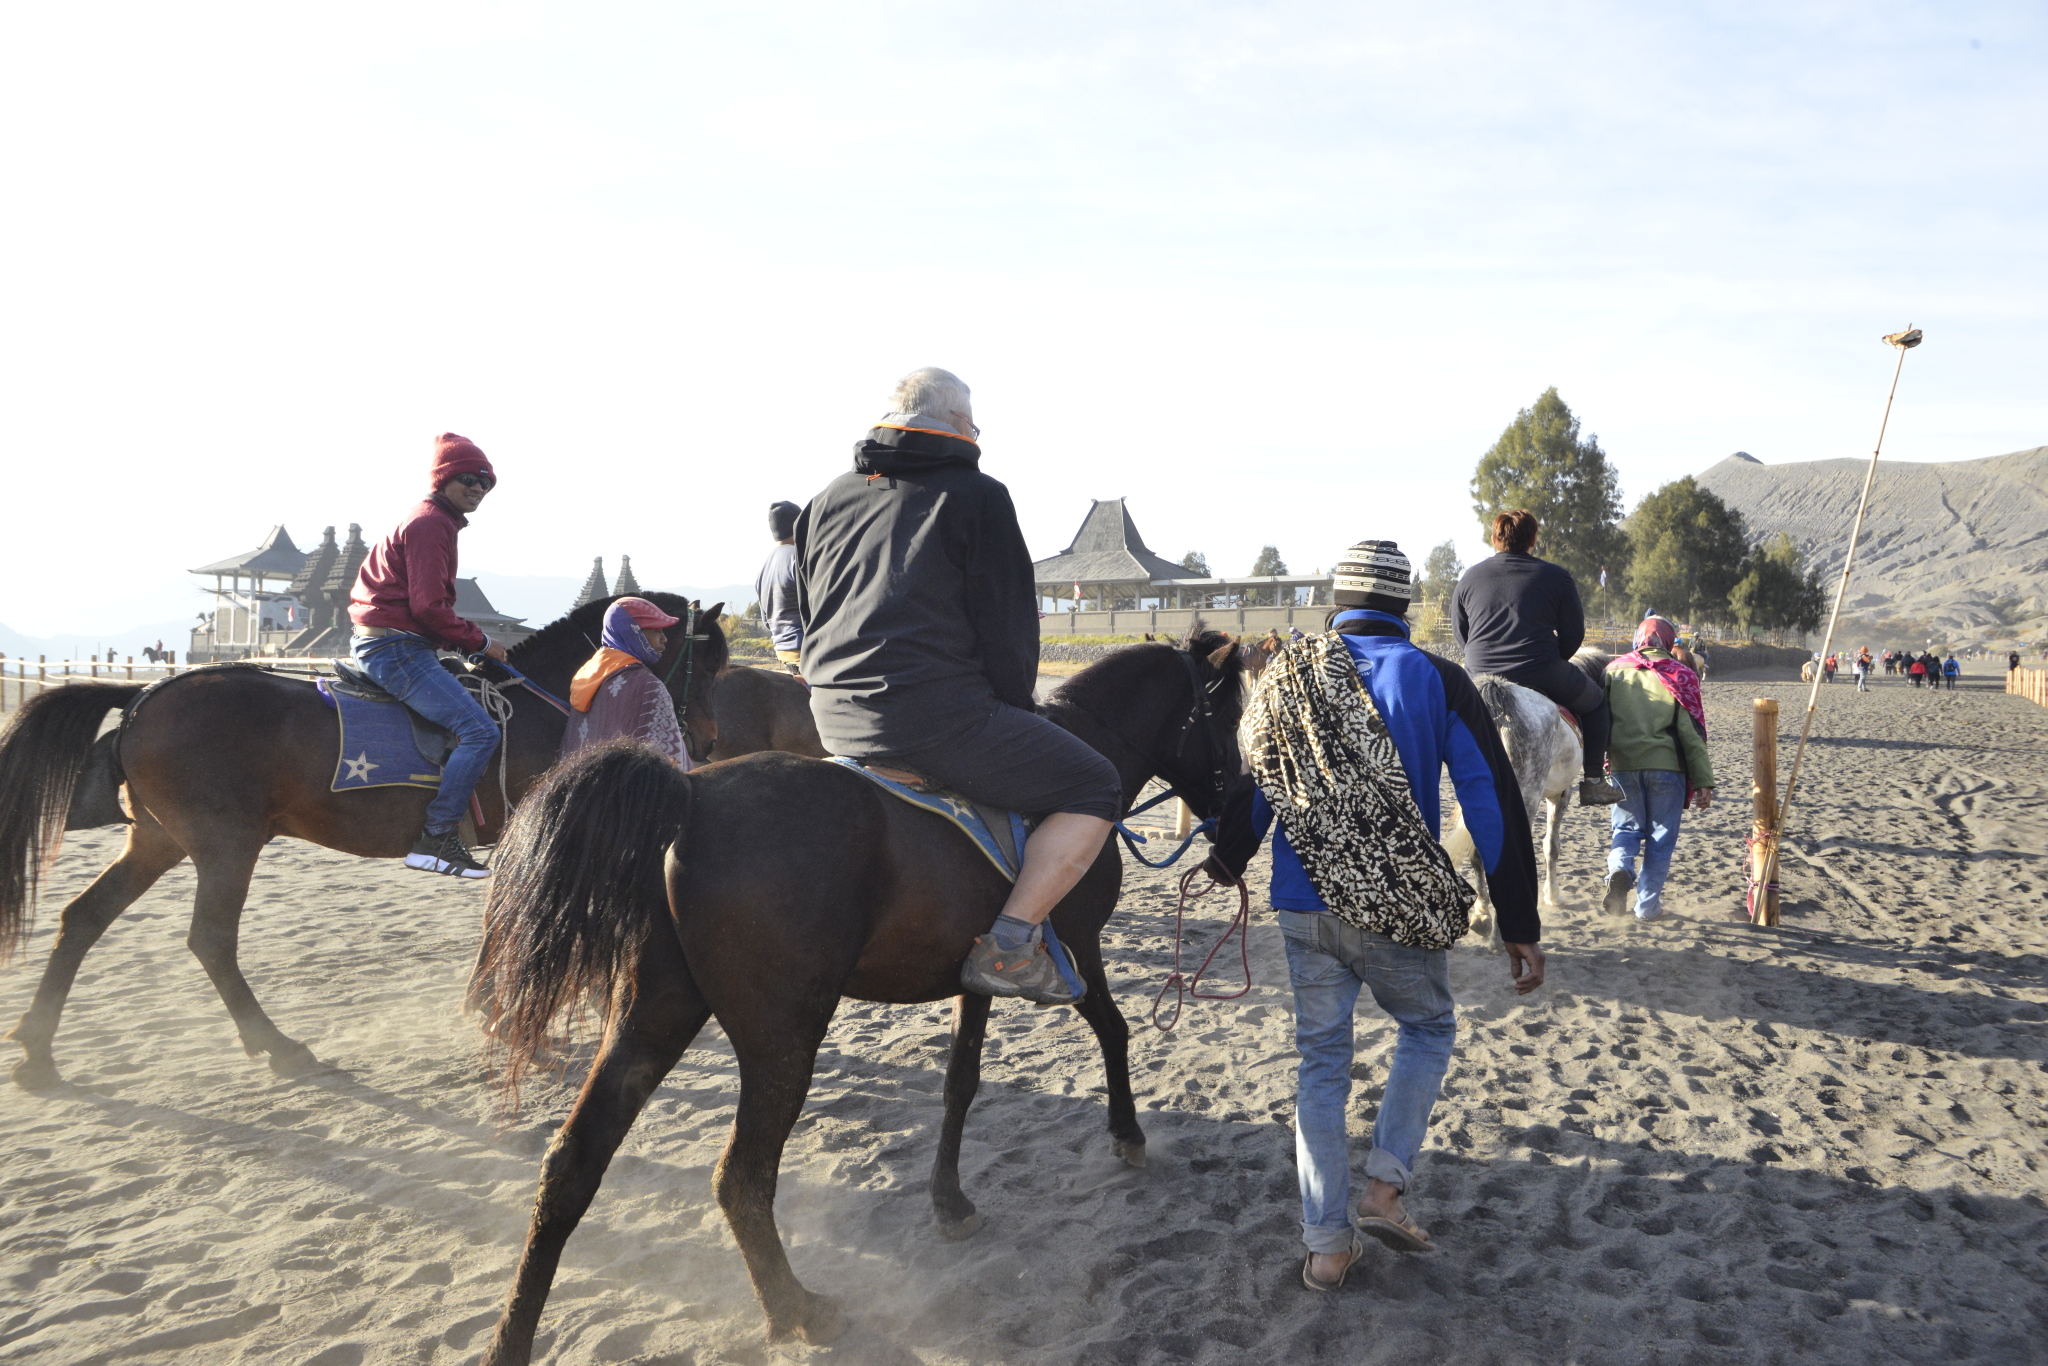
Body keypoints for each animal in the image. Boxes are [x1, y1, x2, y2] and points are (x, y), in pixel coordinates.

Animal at [0, 598, 729, 1089]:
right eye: (710, 663)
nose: (709, 738)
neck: (549, 703)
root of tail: (145, 695)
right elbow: (517, 914)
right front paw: (505, 1014)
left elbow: (501, 917)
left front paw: (487, 1007)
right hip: (227, 844)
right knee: (209, 939)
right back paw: (278, 1045)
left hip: (158, 840)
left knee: (84, 917)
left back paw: (38, 1050)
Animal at [475, 626, 1245, 1359]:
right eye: (1232, 715)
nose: (1238, 835)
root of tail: (691, 796)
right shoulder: (1080, 947)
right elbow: (1114, 1029)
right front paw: (1128, 1132)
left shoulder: (974, 976)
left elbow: (961, 1081)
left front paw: (949, 1200)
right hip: (782, 1035)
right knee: (741, 1177)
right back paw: (797, 1310)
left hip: (654, 1015)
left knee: (573, 1163)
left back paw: (513, 1337)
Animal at [1433, 651, 1605, 950]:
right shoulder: (1562, 795)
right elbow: (1551, 847)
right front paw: (1553, 896)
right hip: (1525, 798)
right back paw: (1502, 936)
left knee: (1480, 853)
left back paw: (1482, 916)